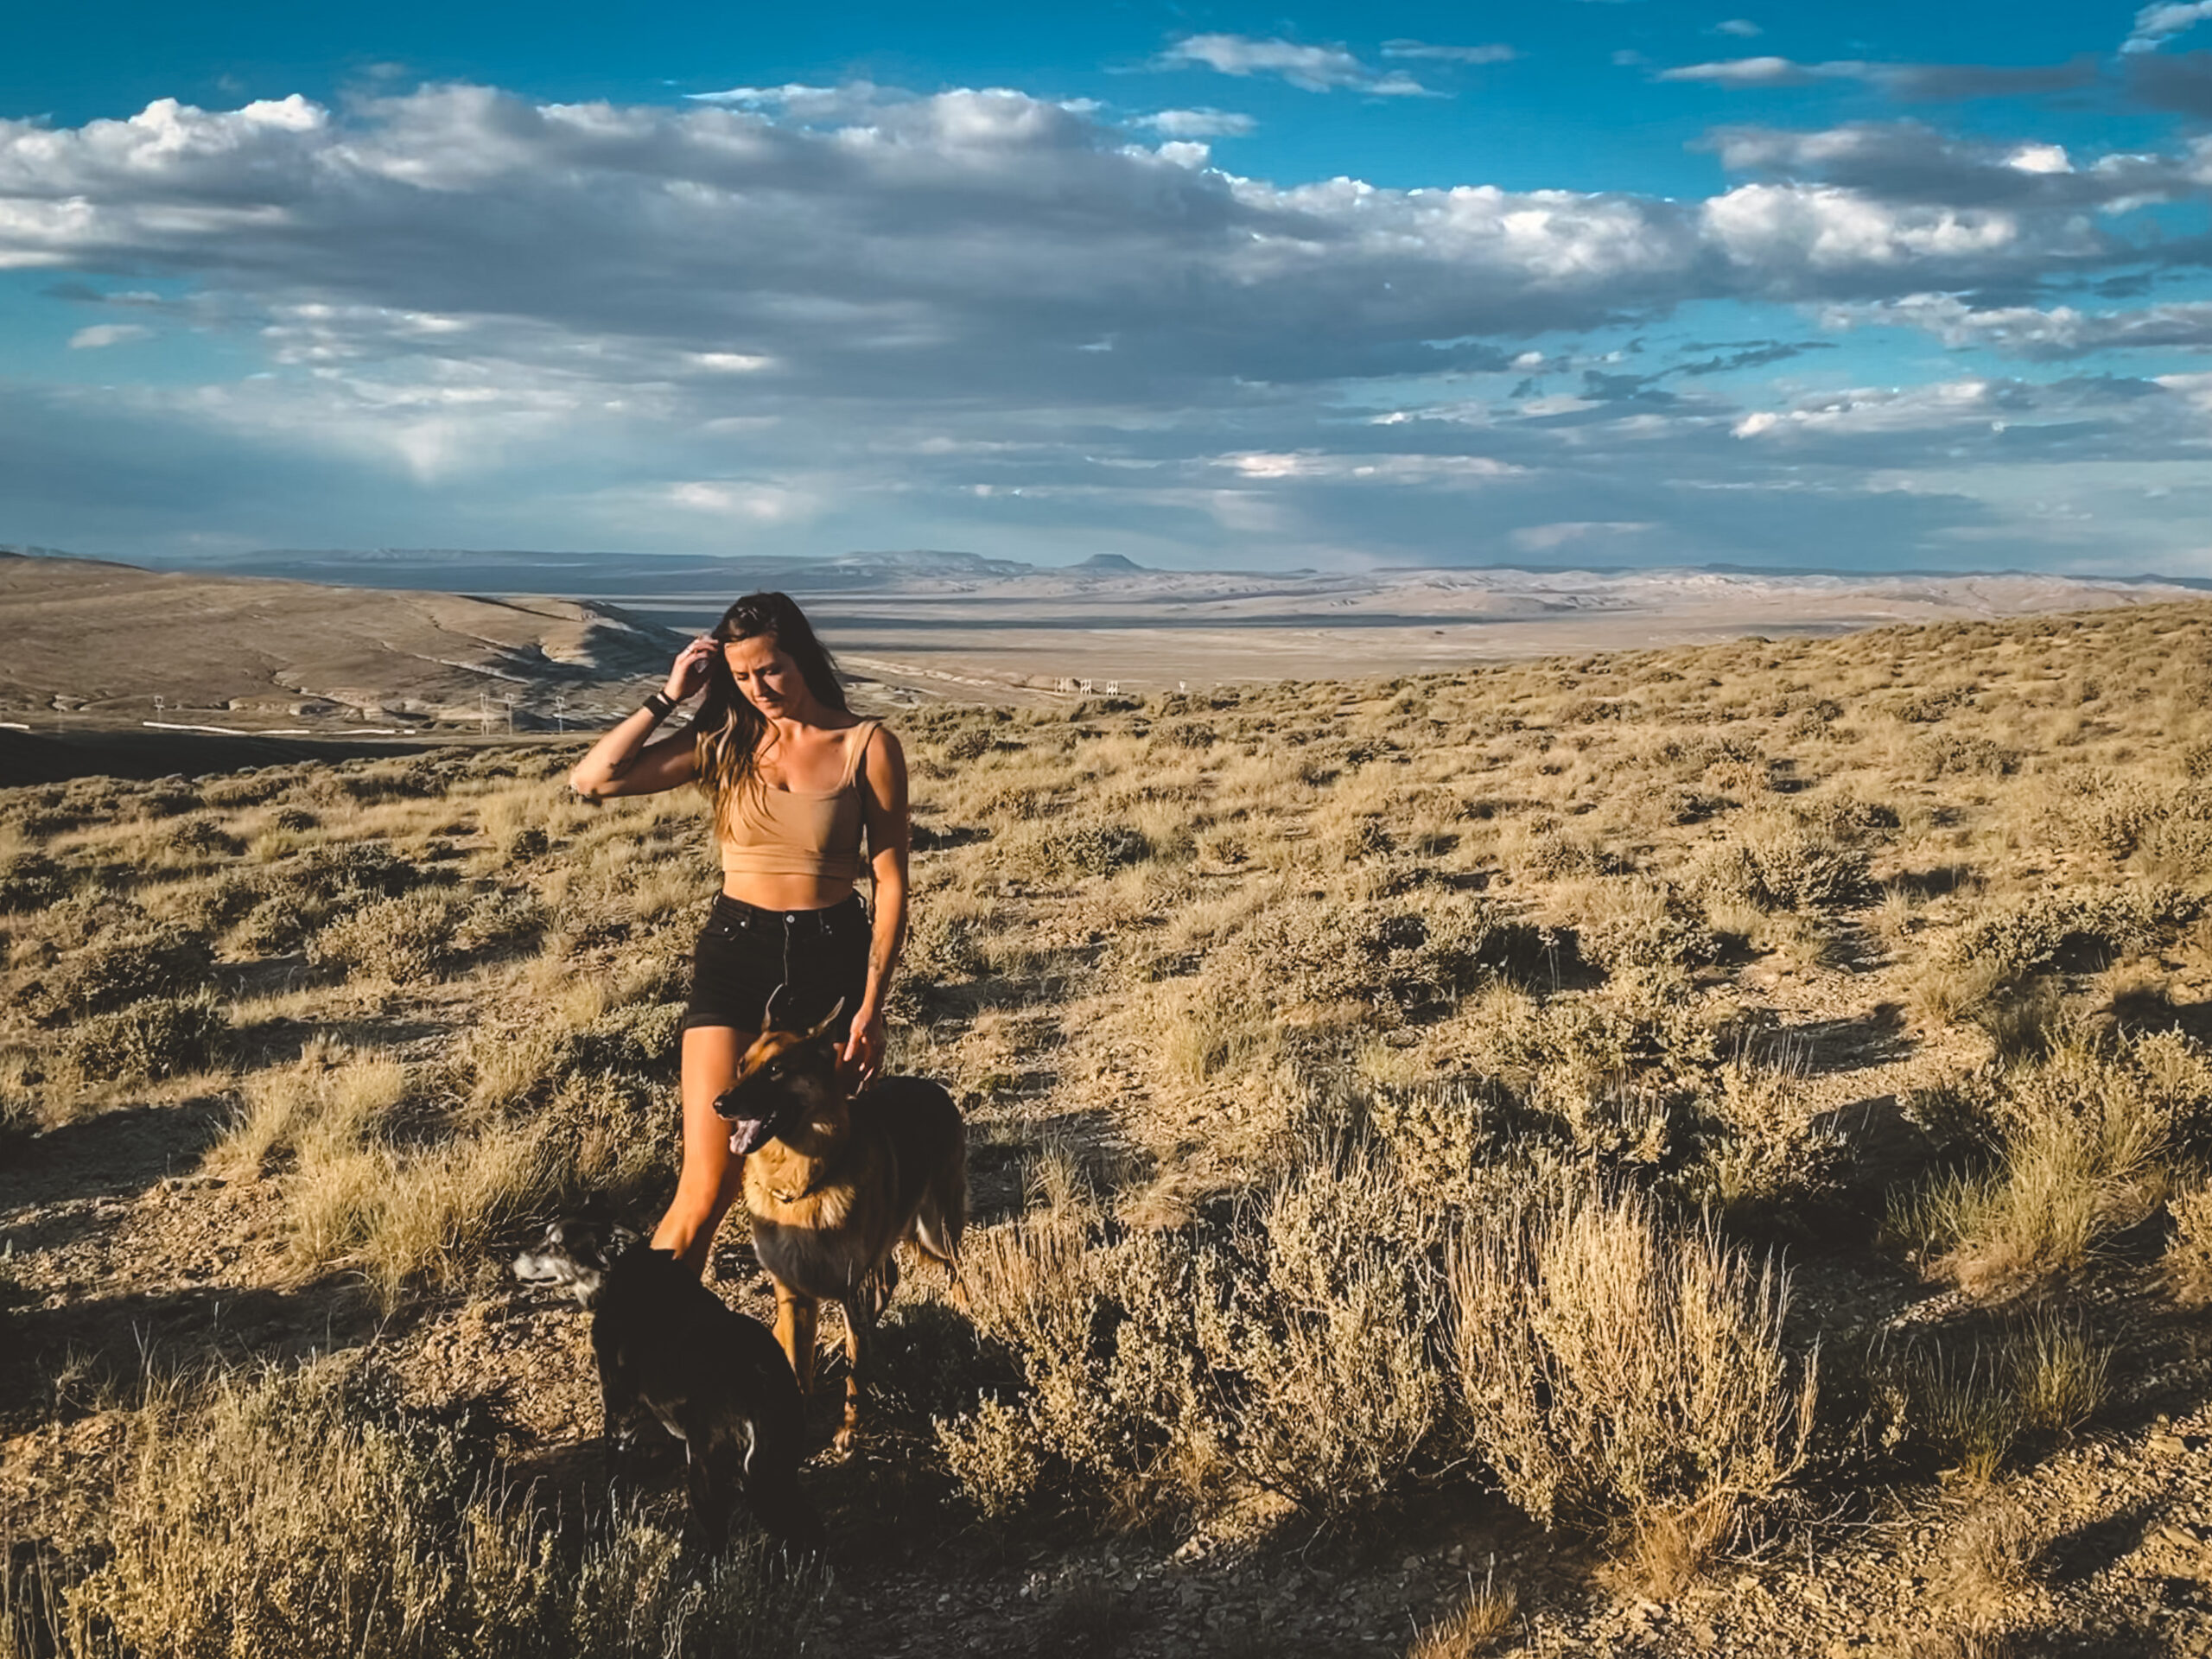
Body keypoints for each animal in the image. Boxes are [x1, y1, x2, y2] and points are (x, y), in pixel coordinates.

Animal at [512, 1221, 827, 1557]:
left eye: (556, 1244)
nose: (513, 1258)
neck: (624, 1275)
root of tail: (759, 1383)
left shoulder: (619, 1409)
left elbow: (613, 1482)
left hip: (707, 1471)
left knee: (723, 1544)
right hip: (776, 1470)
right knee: (809, 1527)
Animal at [712, 1000, 964, 1451]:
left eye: (776, 1069)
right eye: (742, 1065)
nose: (720, 1104)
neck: (802, 1183)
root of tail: (937, 1089)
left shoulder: (851, 1290)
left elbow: (856, 1367)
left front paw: (848, 1430)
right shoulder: (794, 1295)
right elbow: (799, 1368)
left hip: (937, 1232)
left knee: (958, 1274)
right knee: (889, 1279)